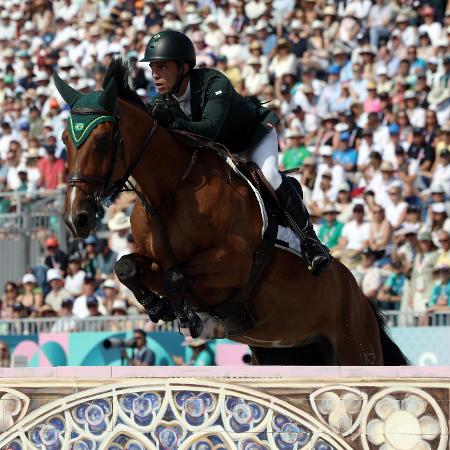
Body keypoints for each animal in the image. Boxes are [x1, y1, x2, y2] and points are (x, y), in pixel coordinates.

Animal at [53, 58, 408, 366]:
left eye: (102, 141)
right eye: (65, 140)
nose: (76, 218)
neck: (170, 192)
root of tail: (360, 296)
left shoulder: (232, 264)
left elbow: (175, 276)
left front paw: (187, 317)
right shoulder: (153, 258)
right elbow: (126, 267)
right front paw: (157, 308)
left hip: (355, 348)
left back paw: (317, 254)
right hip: (284, 353)